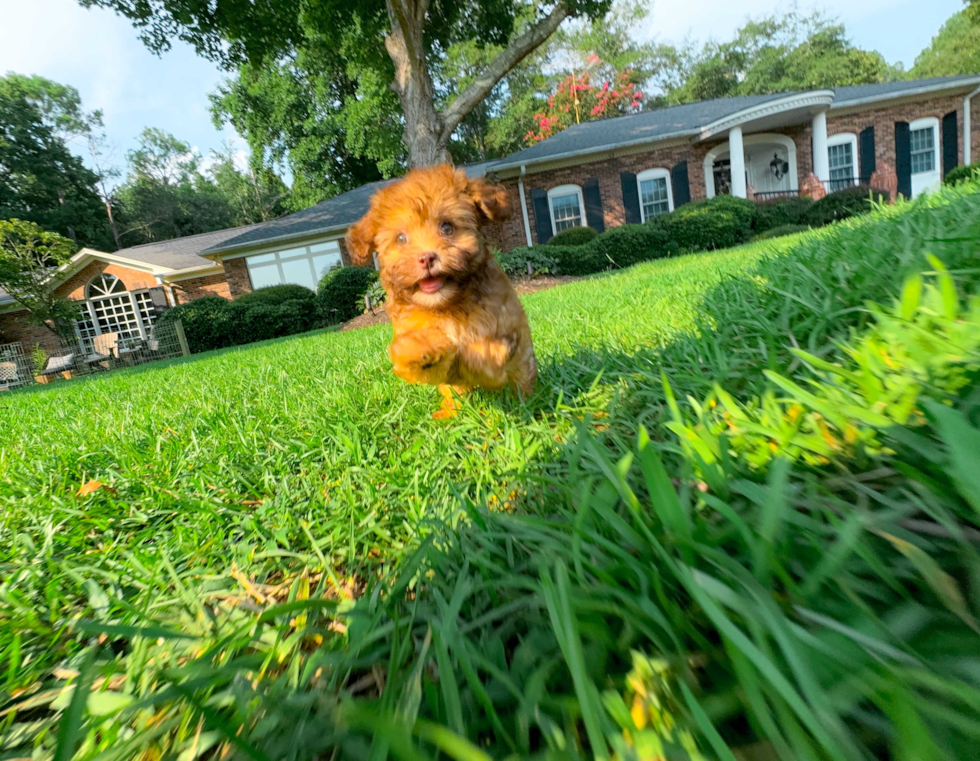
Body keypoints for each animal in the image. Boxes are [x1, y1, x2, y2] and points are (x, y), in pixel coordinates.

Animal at [346, 163, 536, 418]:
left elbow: (485, 356)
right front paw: (414, 350)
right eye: (401, 238)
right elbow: (431, 362)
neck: (446, 304)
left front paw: (480, 361)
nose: (426, 257)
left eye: (447, 227)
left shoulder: (505, 327)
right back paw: (449, 412)